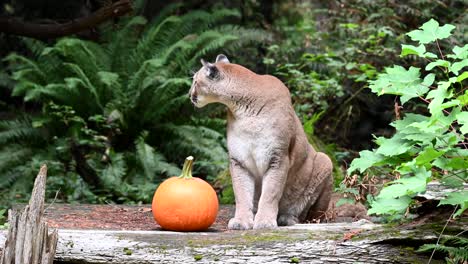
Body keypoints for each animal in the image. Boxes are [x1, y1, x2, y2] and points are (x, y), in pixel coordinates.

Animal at [189, 54, 332, 229]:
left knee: (311, 215)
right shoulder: (238, 160)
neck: (243, 109)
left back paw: (287, 218)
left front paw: (264, 221)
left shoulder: (278, 157)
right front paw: (242, 220)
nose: (190, 94)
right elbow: (242, 193)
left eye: (195, 81)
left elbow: (271, 193)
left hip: (325, 161)